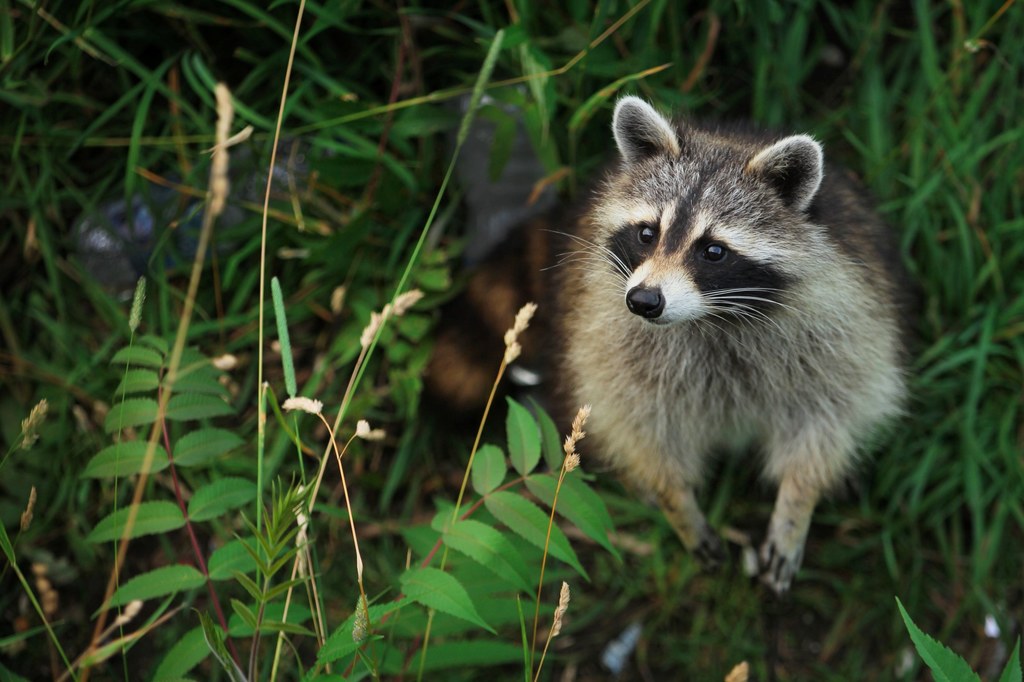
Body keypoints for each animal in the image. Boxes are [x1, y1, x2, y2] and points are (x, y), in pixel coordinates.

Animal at [557, 96, 909, 589]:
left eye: (713, 251)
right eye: (647, 233)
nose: (644, 301)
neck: (710, 318)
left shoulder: (843, 327)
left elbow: (827, 418)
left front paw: (796, 505)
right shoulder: (610, 337)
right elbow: (640, 423)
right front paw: (676, 501)